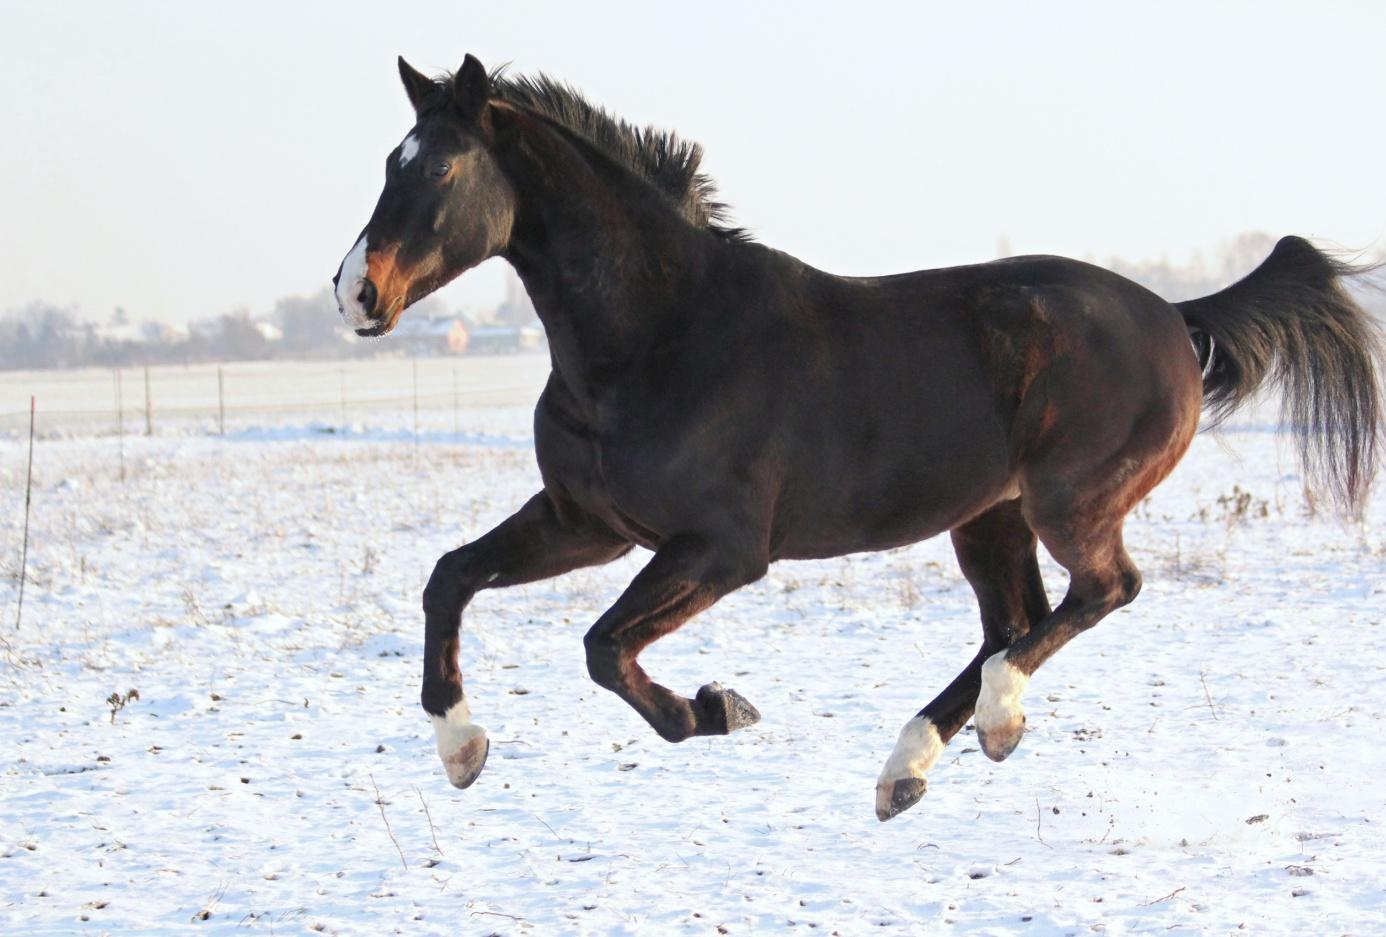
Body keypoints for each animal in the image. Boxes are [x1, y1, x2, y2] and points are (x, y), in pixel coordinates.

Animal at [329, 53, 1380, 820]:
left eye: (442, 167)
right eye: (386, 162)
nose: (356, 292)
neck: (660, 334)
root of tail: (1172, 312)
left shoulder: (722, 549)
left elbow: (603, 646)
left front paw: (718, 707)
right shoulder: (586, 522)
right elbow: (451, 578)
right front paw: (462, 750)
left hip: (1069, 499)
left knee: (1100, 590)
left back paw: (997, 718)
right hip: (987, 516)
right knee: (1016, 620)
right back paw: (909, 766)